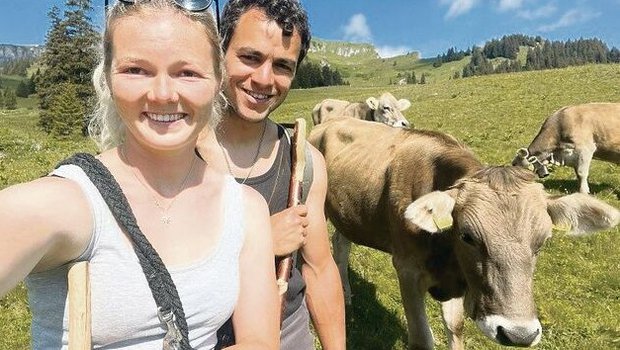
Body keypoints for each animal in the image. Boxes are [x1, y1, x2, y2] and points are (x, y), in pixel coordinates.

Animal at [308, 118, 616, 350]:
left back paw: (346, 294)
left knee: (341, 244)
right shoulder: (407, 269)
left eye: (542, 241)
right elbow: (422, 339)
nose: (519, 334)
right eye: (467, 236)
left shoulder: (459, 275)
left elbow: (455, 327)